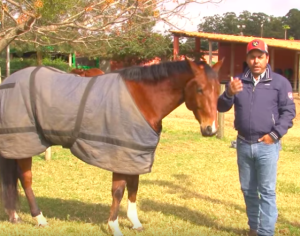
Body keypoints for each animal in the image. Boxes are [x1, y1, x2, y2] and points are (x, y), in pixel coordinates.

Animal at [0, 57, 223, 236]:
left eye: (218, 91)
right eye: (200, 89)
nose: (210, 129)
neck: (142, 99)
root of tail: (8, 81)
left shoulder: (135, 154)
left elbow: (134, 188)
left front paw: (135, 222)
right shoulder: (120, 155)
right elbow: (118, 191)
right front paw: (114, 226)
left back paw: (14, 216)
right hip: (25, 142)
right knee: (26, 179)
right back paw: (39, 218)